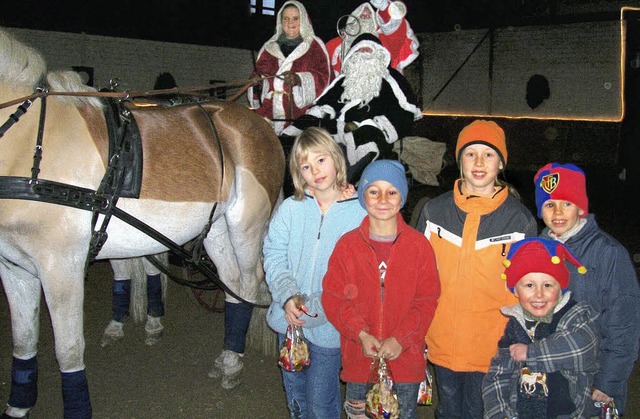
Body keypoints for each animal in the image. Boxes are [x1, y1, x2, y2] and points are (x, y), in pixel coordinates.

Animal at [0, 27, 282, 418]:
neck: (30, 146)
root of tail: (260, 121)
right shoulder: (14, 267)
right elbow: (24, 341)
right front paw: (18, 406)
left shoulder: (61, 266)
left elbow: (68, 349)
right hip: (216, 229)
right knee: (231, 283)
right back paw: (227, 356)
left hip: (247, 226)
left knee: (249, 283)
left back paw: (234, 359)